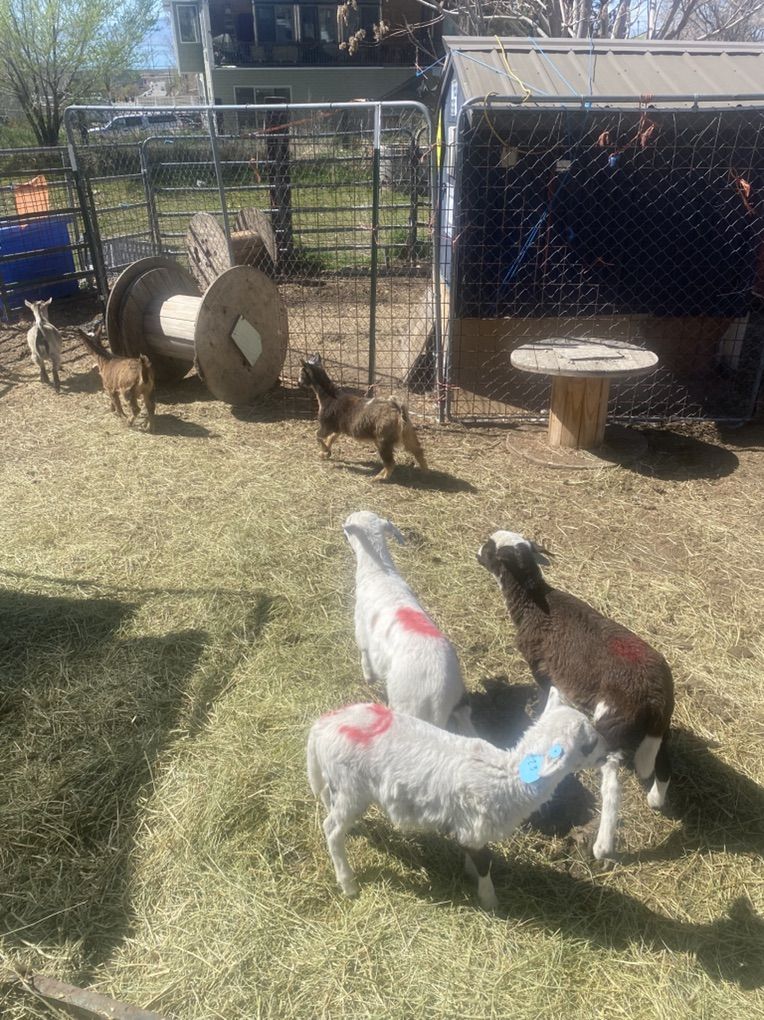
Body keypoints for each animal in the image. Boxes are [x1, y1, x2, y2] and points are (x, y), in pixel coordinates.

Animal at [307, 688, 605, 908]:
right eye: (588, 745)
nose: (608, 753)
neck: (509, 777)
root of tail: (322, 725)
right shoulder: (475, 827)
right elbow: (484, 863)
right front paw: (490, 901)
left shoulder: (467, 827)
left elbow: (472, 856)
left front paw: (469, 873)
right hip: (351, 787)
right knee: (330, 828)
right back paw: (348, 883)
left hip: (337, 784)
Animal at [343, 510, 476, 736]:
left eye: (349, 524)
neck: (379, 572)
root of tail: (438, 695)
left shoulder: (360, 631)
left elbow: (364, 656)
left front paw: (368, 678)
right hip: (460, 699)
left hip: (408, 704)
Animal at [477, 530, 675, 862]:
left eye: (491, 549)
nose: (477, 551)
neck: (533, 605)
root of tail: (656, 698)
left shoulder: (541, 667)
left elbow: (546, 696)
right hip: (658, 729)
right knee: (663, 761)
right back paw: (656, 800)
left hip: (612, 717)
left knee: (611, 778)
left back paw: (602, 845)